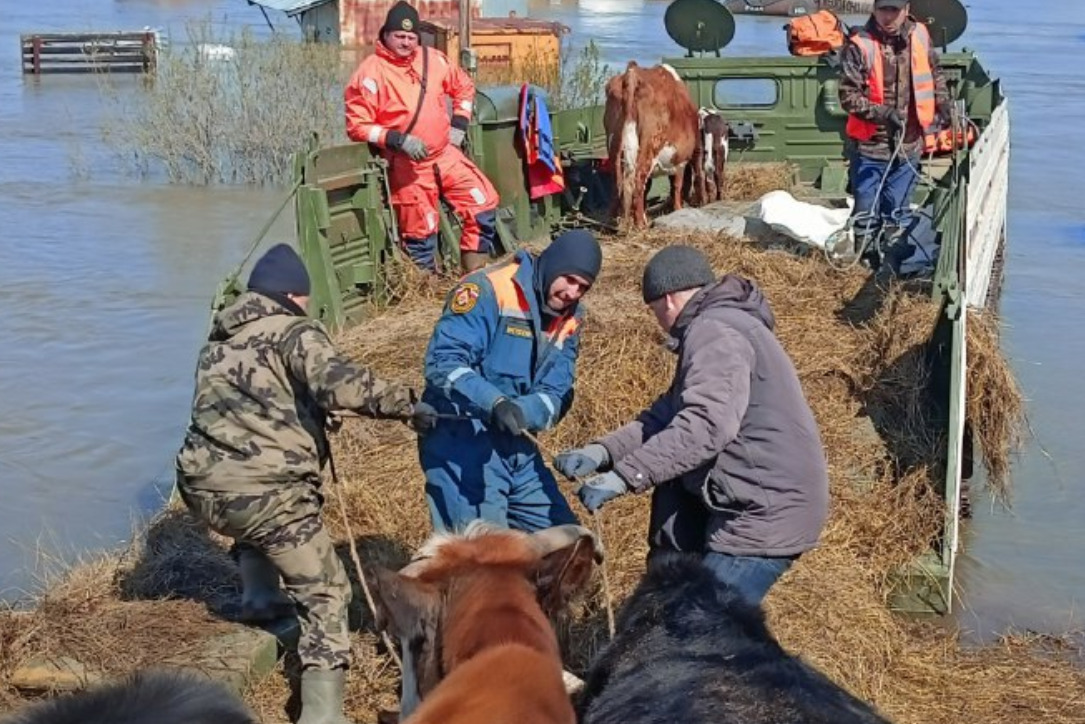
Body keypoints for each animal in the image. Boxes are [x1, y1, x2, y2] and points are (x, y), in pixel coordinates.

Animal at [603, 64, 703, 231]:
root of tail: (632, 73)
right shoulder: (681, 161)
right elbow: (677, 186)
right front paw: (678, 208)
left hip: (615, 148)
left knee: (617, 182)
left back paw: (612, 222)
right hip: (648, 148)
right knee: (638, 179)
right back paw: (639, 224)